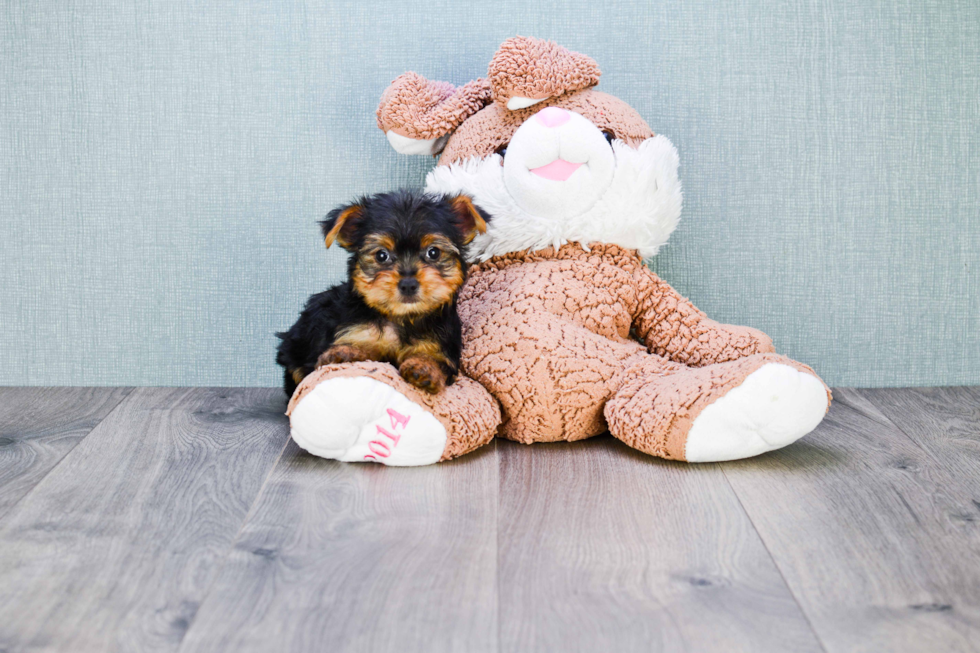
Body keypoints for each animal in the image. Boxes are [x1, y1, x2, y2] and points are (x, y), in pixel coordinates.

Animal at [276, 188, 490, 398]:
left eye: (434, 252)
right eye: (381, 255)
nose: (408, 284)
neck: (401, 318)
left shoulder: (441, 347)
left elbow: (436, 361)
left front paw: (424, 368)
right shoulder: (355, 332)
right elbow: (359, 349)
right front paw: (343, 353)